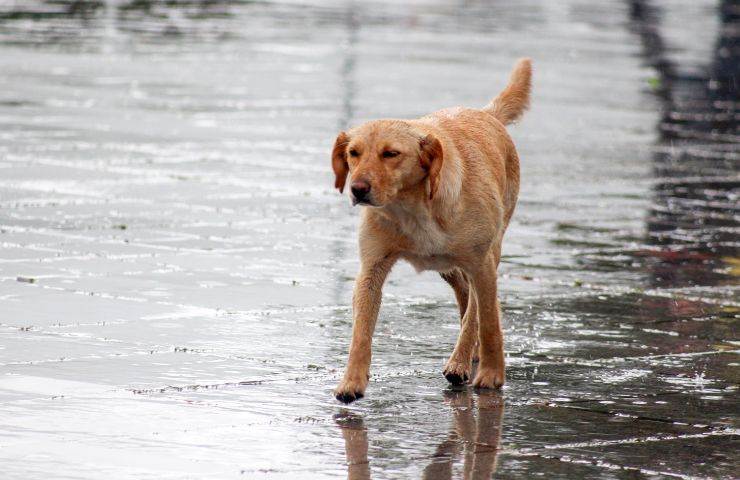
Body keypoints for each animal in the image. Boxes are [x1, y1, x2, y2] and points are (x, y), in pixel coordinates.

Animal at [330, 58, 532, 404]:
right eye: (353, 153)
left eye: (391, 154)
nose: (357, 189)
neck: (412, 208)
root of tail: (487, 114)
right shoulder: (371, 270)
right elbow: (361, 333)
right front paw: (352, 381)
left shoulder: (481, 264)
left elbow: (488, 322)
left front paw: (492, 375)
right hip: (446, 266)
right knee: (464, 294)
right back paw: (468, 355)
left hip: (487, 254)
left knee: (477, 309)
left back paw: (462, 360)